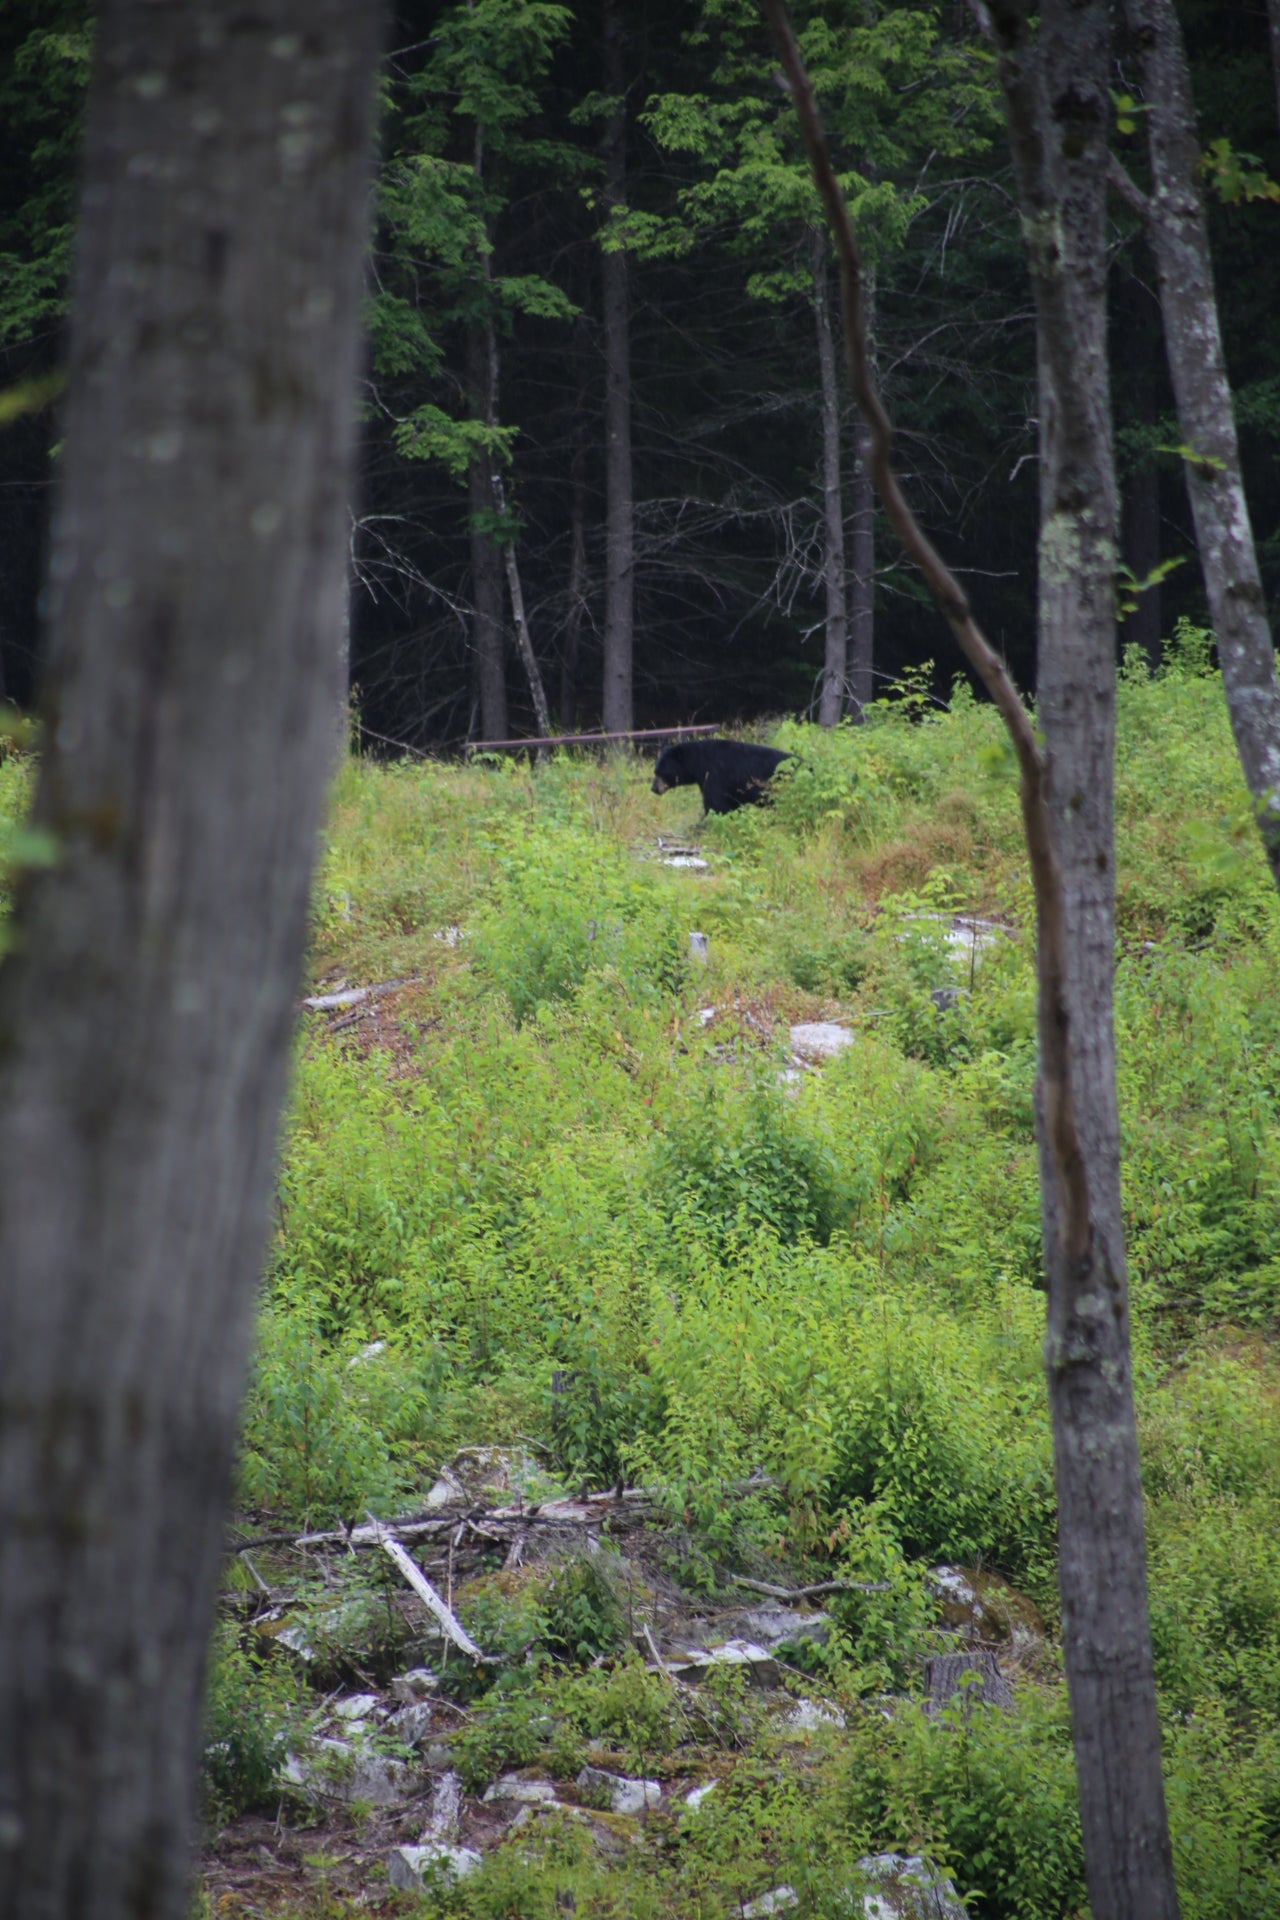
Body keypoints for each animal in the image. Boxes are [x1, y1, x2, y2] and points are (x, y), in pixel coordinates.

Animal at [651, 739, 793, 815]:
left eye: (660, 772)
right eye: (655, 771)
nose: (653, 788)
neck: (700, 763)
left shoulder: (716, 775)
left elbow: (716, 805)